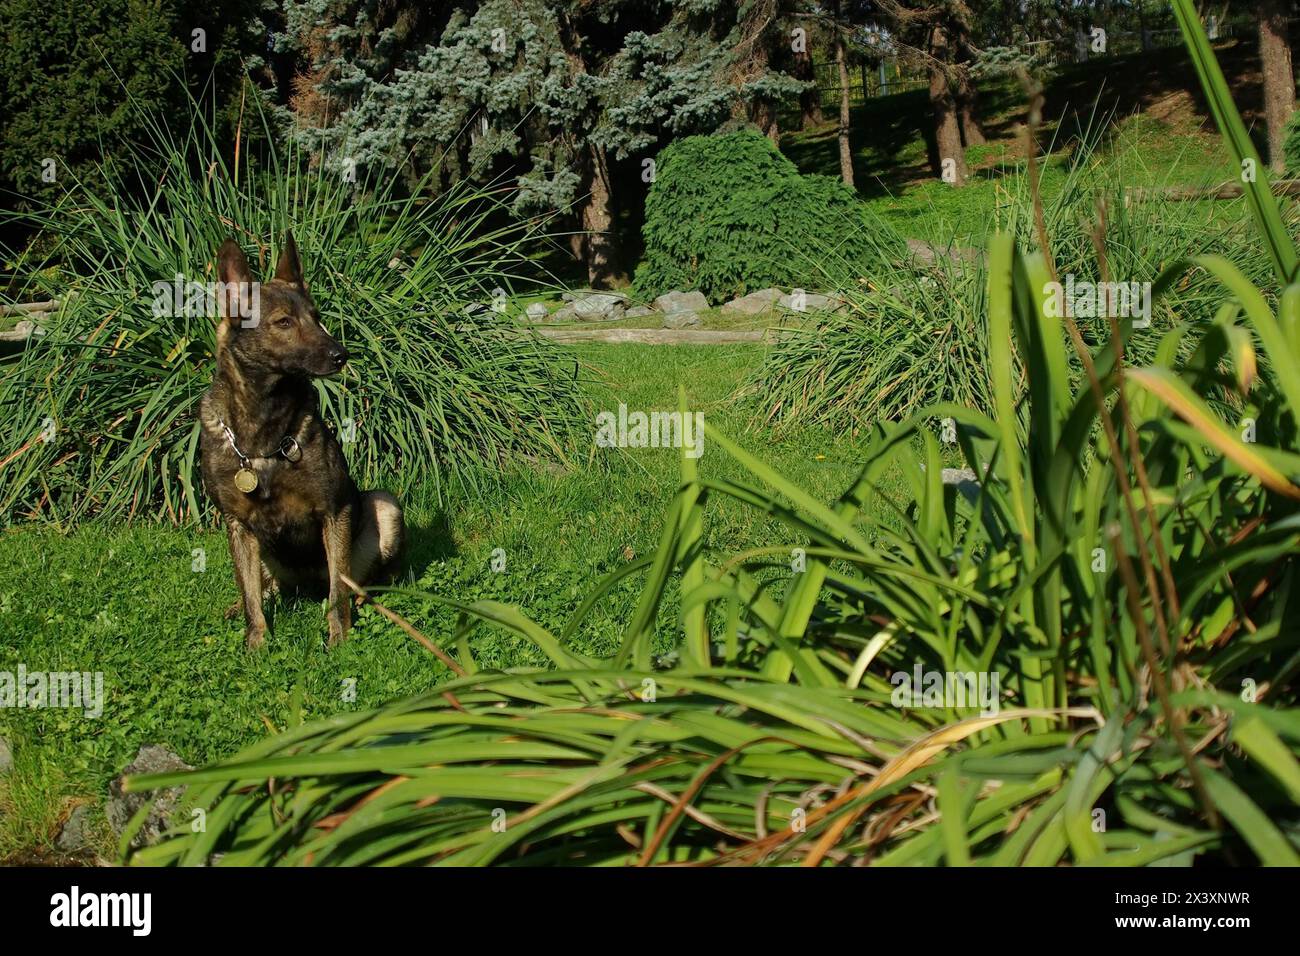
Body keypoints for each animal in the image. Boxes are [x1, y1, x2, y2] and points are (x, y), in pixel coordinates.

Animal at [195, 231, 400, 650]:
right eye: (284, 322)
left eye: (317, 317)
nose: (341, 354)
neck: (262, 436)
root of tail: (306, 584)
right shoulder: (237, 524)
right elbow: (251, 597)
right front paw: (256, 643)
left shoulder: (333, 510)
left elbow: (337, 594)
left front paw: (339, 638)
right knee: (264, 586)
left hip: (385, 506)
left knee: (355, 583)